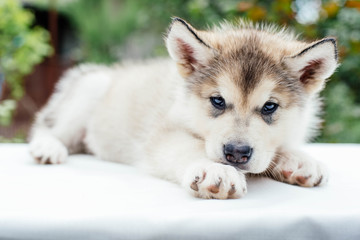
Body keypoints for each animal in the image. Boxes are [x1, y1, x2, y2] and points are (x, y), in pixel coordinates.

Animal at [28, 18, 338, 199]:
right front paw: (214, 169)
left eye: (270, 106)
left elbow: (281, 147)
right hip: (89, 91)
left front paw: (299, 160)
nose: (236, 154)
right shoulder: (163, 134)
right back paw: (48, 147)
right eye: (217, 101)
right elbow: (190, 147)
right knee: (47, 126)